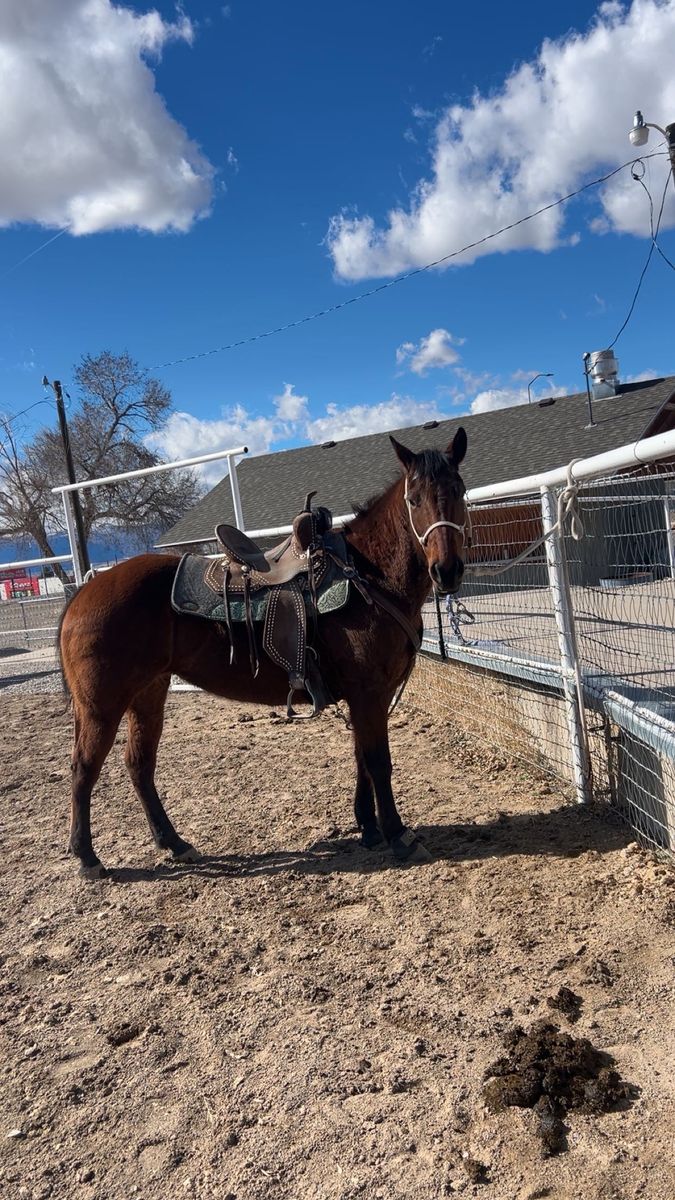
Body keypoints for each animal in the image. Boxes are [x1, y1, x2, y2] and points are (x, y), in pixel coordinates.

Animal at [58, 428, 469, 877]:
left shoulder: (366, 697)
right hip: (102, 705)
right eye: (414, 499)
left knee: (139, 764)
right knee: (83, 769)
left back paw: (174, 843)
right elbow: (378, 761)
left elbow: (361, 757)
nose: (447, 571)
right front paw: (398, 835)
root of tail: (84, 593)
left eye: (459, 490)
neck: (368, 578)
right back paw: (87, 857)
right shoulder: (368, 693)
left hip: (148, 693)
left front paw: (369, 828)